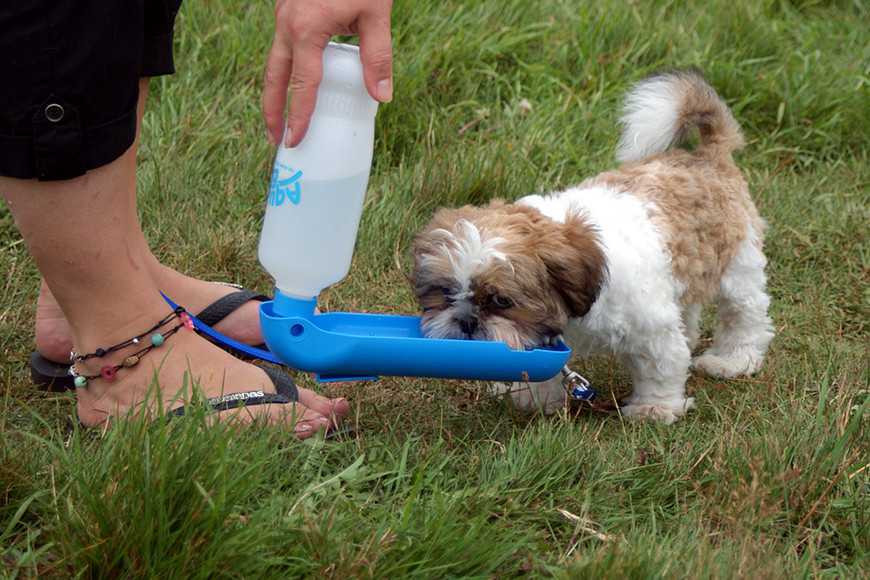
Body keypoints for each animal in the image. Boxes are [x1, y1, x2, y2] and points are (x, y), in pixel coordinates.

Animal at [416, 70, 776, 424]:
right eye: (445, 293)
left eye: (502, 301)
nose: (467, 320)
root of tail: (708, 155)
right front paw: (532, 397)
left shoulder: (650, 327)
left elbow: (660, 365)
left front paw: (653, 408)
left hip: (738, 264)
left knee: (743, 314)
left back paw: (733, 360)